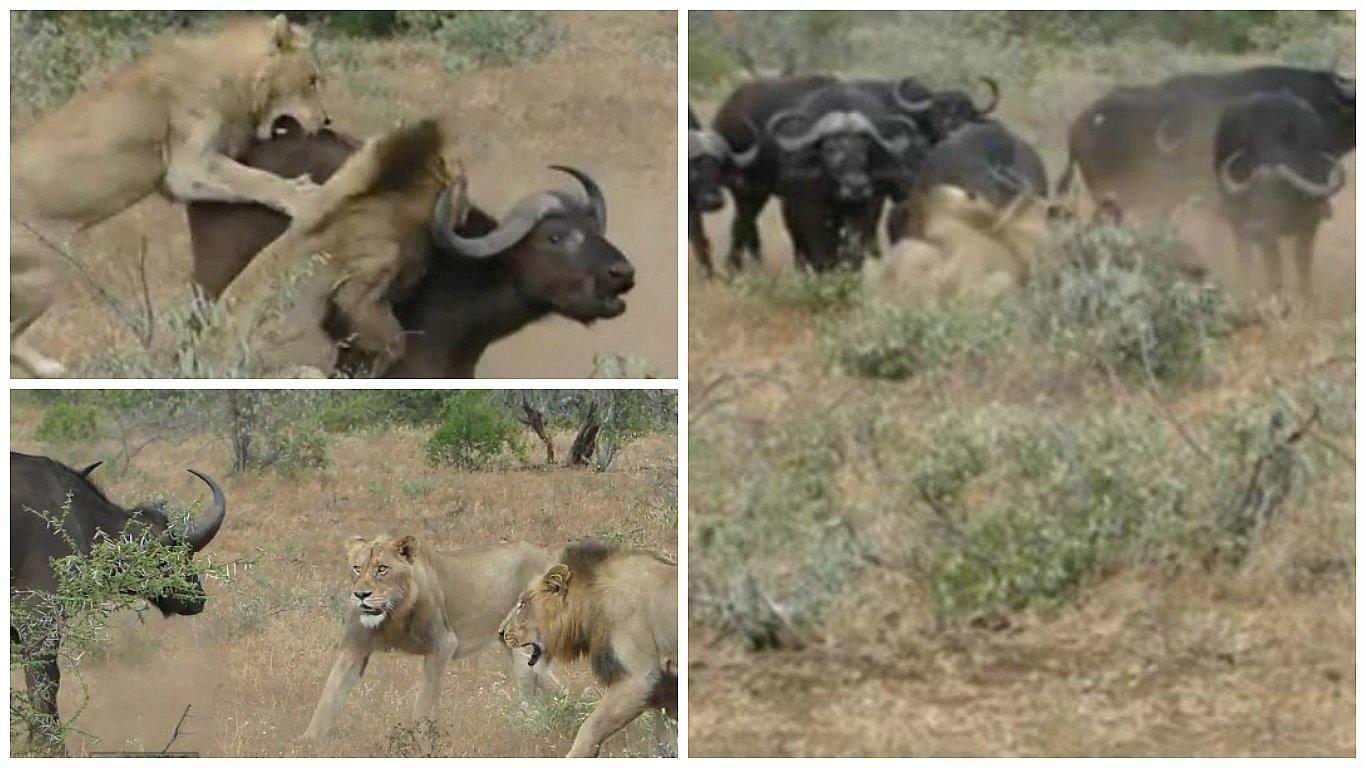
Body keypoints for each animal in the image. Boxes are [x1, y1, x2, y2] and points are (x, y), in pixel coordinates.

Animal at [10, 14, 328, 376]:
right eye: (311, 81)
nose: (326, 120)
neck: (233, 74)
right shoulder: (187, 169)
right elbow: (256, 180)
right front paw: (305, 196)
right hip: (42, 272)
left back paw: (51, 369)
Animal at [10, 452, 226, 750]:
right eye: (170, 551)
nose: (196, 597)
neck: (79, 517)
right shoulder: (38, 620)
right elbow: (45, 683)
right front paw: (50, 747)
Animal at [300, 535, 561, 740]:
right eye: (356, 568)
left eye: (382, 568)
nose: (361, 594)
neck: (392, 616)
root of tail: (546, 555)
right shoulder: (354, 648)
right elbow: (329, 695)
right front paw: (308, 741)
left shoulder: (442, 646)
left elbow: (423, 703)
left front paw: (419, 743)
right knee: (545, 682)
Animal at [500, 541, 678, 758]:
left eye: (522, 604)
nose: (501, 632)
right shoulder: (665, 684)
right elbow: (667, 736)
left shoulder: (640, 678)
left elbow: (590, 727)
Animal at [1214, 91, 1347, 296]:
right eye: (1254, 200)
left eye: (1281, 197)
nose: (1255, 227)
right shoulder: (1266, 233)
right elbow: (1273, 262)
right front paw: (1275, 293)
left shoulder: (1311, 221)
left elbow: (1303, 260)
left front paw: (1306, 296)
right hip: (1235, 218)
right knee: (1244, 253)